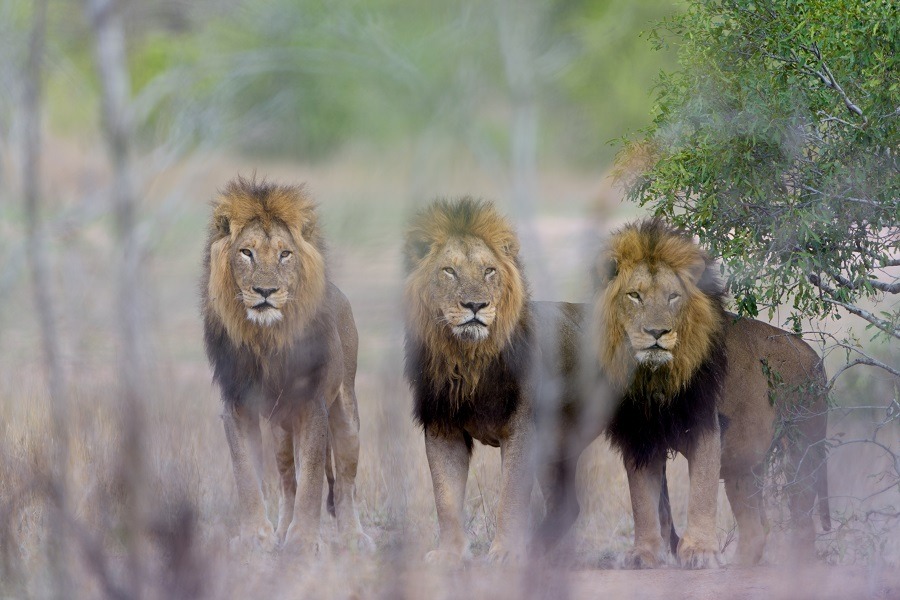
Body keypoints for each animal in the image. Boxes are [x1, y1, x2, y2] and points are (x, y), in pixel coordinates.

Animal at [201, 177, 372, 552]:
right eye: (246, 253)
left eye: (285, 254)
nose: (265, 291)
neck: (267, 340)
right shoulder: (236, 405)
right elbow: (246, 473)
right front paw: (256, 535)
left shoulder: (312, 404)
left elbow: (312, 477)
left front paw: (304, 540)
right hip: (280, 431)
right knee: (286, 481)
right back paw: (281, 531)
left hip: (347, 418)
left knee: (346, 482)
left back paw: (353, 536)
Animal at [596, 219, 832, 568]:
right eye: (635, 296)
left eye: (673, 297)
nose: (657, 333)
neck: (656, 377)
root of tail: (813, 357)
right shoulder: (641, 435)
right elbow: (642, 499)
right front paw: (644, 553)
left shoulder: (706, 424)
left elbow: (702, 490)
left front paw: (699, 551)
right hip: (744, 463)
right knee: (757, 527)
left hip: (802, 447)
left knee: (802, 520)